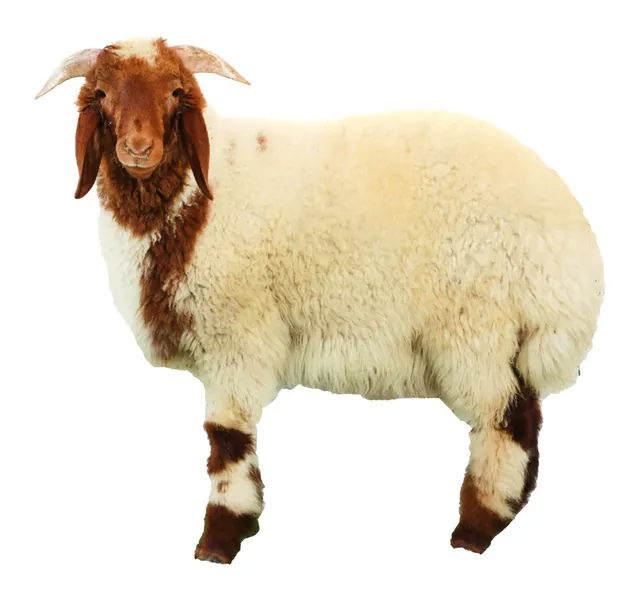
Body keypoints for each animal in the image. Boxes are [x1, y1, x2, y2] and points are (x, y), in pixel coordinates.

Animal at [36, 36, 604, 564]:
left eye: (177, 92)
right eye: (101, 94)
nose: (138, 150)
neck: (195, 199)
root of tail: (571, 248)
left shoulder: (236, 334)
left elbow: (226, 438)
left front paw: (221, 537)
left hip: (477, 322)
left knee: (503, 419)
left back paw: (475, 530)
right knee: (524, 411)